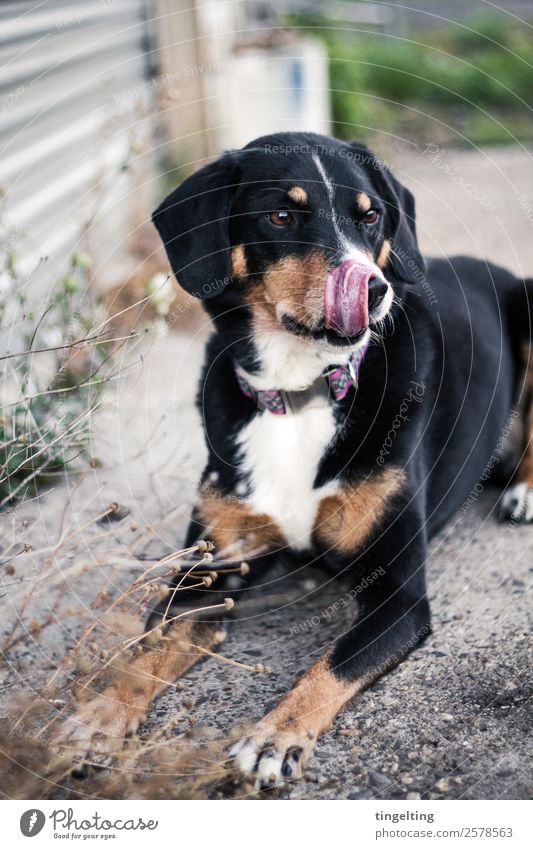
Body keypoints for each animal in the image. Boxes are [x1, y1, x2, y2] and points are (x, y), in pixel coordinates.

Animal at [59, 132, 532, 788]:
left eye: (370, 217)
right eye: (282, 216)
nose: (375, 290)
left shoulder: (398, 596)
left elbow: (332, 663)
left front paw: (275, 735)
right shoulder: (209, 572)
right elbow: (143, 652)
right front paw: (100, 716)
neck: (299, 391)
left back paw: (524, 490)